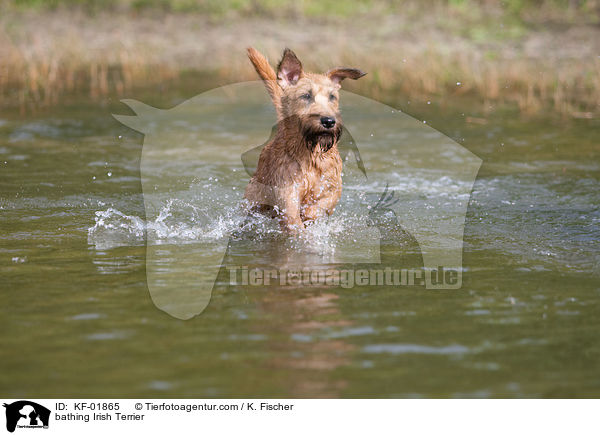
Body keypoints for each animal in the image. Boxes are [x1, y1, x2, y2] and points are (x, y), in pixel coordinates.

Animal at [244, 46, 366, 235]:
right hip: (253, 200)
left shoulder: (332, 189)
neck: (310, 153)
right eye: (306, 96)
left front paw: (309, 214)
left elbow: (320, 206)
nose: (329, 121)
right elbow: (293, 217)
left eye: (332, 96)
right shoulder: (287, 194)